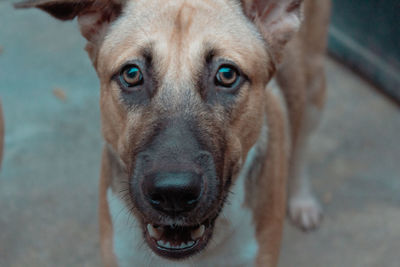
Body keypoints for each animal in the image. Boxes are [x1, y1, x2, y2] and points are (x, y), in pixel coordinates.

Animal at [15, 1, 330, 266]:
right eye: (131, 74)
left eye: (227, 74)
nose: (173, 194)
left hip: (315, 89)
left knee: (301, 145)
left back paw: (302, 200)